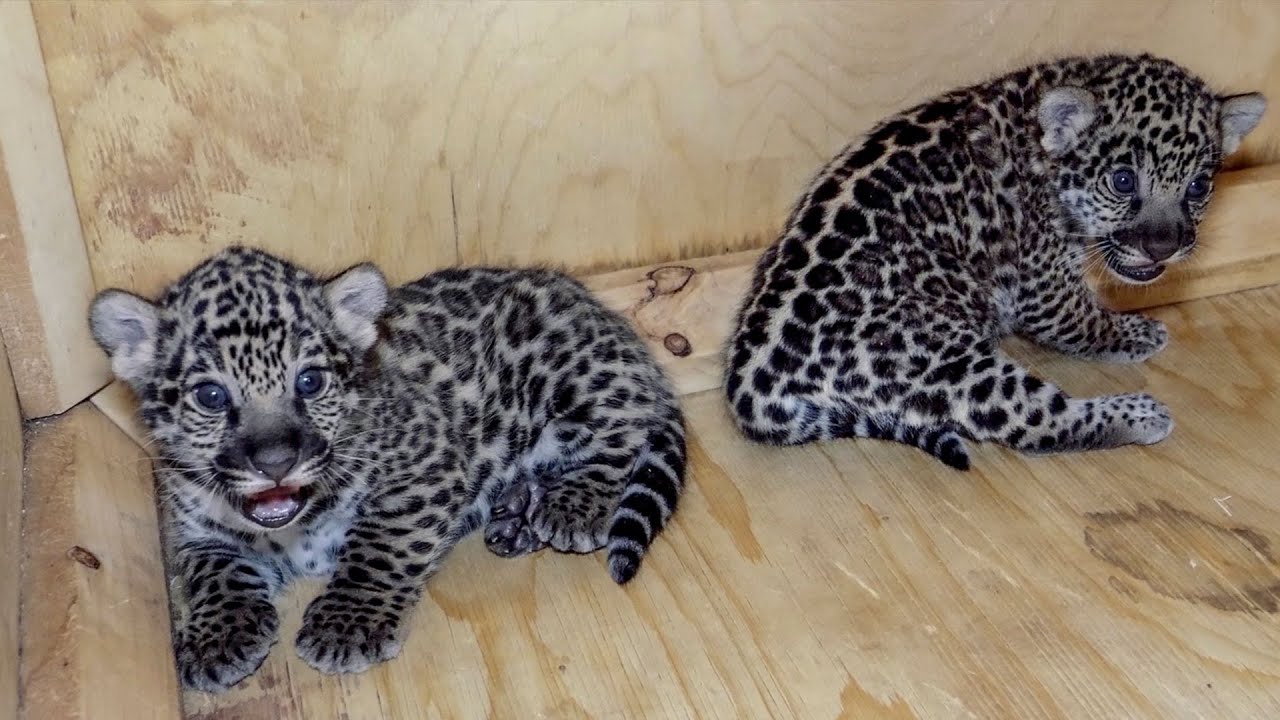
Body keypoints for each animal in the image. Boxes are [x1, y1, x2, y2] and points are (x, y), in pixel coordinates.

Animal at [89, 246, 686, 692]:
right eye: (210, 396)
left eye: (310, 382)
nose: (278, 462)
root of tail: (612, 323)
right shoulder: (194, 530)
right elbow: (213, 574)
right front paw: (218, 639)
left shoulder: (425, 464)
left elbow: (380, 546)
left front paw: (347, 625)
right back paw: (517, 513)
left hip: (574, 375)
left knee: (625, 428)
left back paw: (569, 505)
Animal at [724, 53, 1265, 469]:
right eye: (1123, 180)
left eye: (1198, 186)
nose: (1163, 247)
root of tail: (748, 375)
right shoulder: (1043, 285)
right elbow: (1080, 321)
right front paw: (1130, 331)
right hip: (939, 354)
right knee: (1035, 423)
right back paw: (1138, 415)